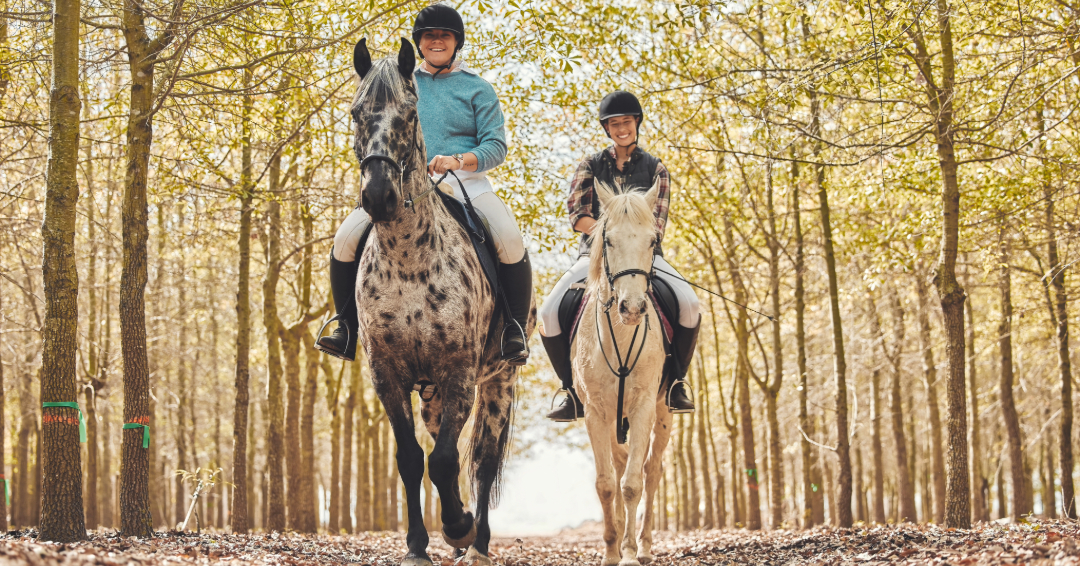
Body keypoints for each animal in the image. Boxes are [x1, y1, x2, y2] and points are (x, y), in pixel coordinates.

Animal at [349, 37, 531, 561]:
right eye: (356, 114)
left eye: (410, 115)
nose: (379, 196)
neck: (409, 260)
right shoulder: (387, 374)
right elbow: (413, 459)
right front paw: (417, 545)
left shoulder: (459, 375)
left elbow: (449, 460)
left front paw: (458, 527)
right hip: (430, 395)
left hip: (499, 382)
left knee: (482, 462)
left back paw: (478, 543)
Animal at [574, 182, 673, 566]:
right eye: (609, 240)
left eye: (652, 240)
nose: (631, 308)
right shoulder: (595, 413)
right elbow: (606, 484)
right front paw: (610, 551)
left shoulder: (644, 406)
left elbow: (632, 484)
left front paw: (629, 552)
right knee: (618, 466)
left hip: (663, 412)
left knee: (652, 470)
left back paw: (643, 546)